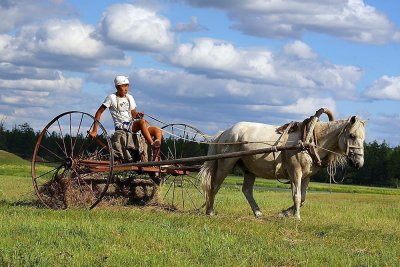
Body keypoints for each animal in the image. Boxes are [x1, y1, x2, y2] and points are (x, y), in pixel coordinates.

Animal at [200, 110, 366, 221]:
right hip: (226, 163)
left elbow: (303, 197)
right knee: (215, 185)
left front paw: (284, 213)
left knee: (247, 190)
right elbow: (297, 196)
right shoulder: (295, 172)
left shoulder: (306, 176)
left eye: (363, 138)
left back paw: (258, 213)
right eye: (352, 135)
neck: (310, 140)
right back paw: (210, 211)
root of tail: (224, 132)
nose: (359, 163)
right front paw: (296, 217)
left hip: (249, 169)